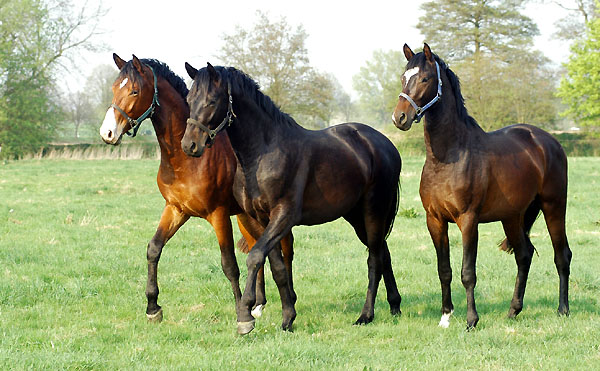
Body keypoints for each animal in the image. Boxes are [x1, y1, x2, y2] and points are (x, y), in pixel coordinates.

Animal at [98, 53, 296, 324]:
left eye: (135, 91)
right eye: (114, 88)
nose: (107, 133)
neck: (185, 160)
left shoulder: (218, 214)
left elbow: (229, 264)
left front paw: (241, 314)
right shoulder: (176, 209)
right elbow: (154, 249)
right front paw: (153, 307)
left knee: (285, 249)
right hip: (247, 217)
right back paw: (259, 304)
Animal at [180, 62, 400, 336]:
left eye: (211, 100)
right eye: (189, 100)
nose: (189, 145)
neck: (264, 153)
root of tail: (386, 145)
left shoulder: (284, 216)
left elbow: (255, 257)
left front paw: (246, 315)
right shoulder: (261, 220)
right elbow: (277, 268)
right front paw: (287, 319)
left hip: (373, 210)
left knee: (373, 259)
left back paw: (366, 315)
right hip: (356, 216)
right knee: (383, 252)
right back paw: (394, 305)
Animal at [394, 42, 572, 330]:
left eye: (425, 79)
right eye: (403, 77)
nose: (399, 117)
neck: (449, 156)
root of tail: (548, 142)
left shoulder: (468, 220)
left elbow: (468, 272)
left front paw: (471, 321)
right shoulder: (435, 220)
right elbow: (444, 270)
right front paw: (445, 317)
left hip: (554, 206)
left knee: (562, 255)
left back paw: (563, 310)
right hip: (512, 216)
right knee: (524, 255)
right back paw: (513, 311)